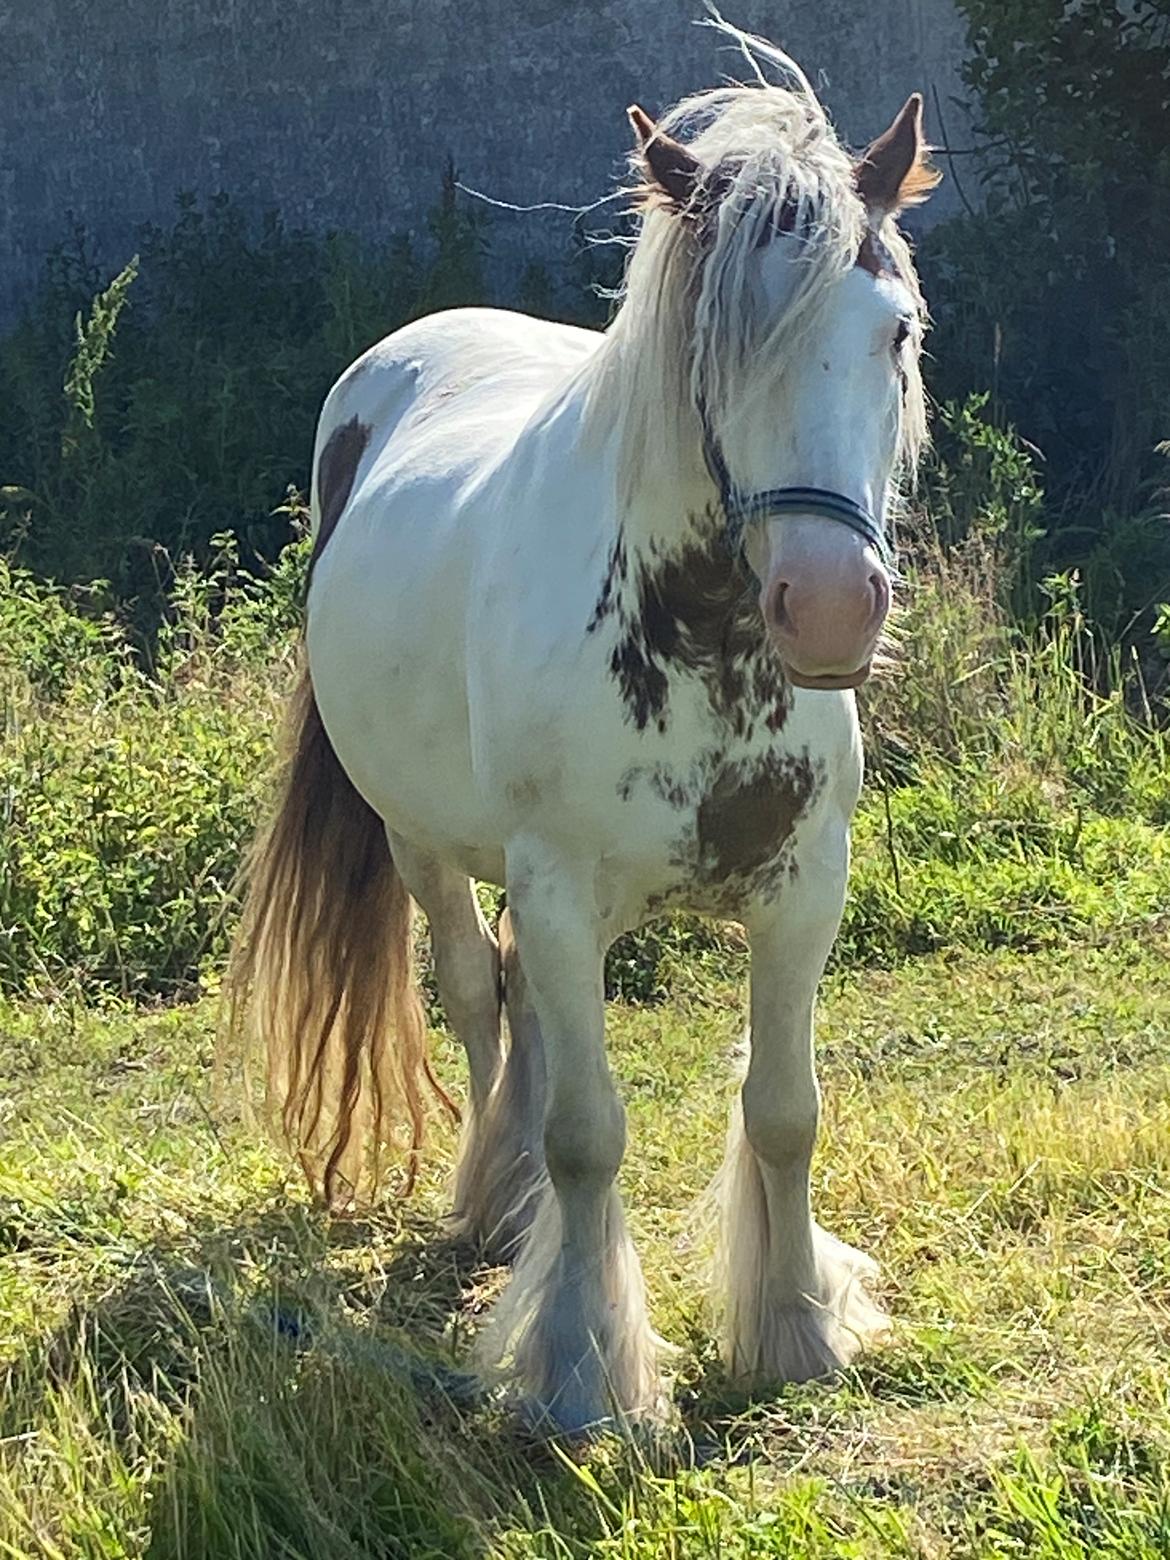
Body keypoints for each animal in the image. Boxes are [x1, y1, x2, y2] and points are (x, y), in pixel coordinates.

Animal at [229, 24, 942, 1428]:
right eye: (718, 349)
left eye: (892, 330)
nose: (832, 605)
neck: (706, 653)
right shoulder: (558, 888)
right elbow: (586, 1133)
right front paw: (578, 1370)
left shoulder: (803, 893)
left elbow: (785, 1111)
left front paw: (794, 1324)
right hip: (423, 845)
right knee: (479, 997)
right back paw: (493, 1205)